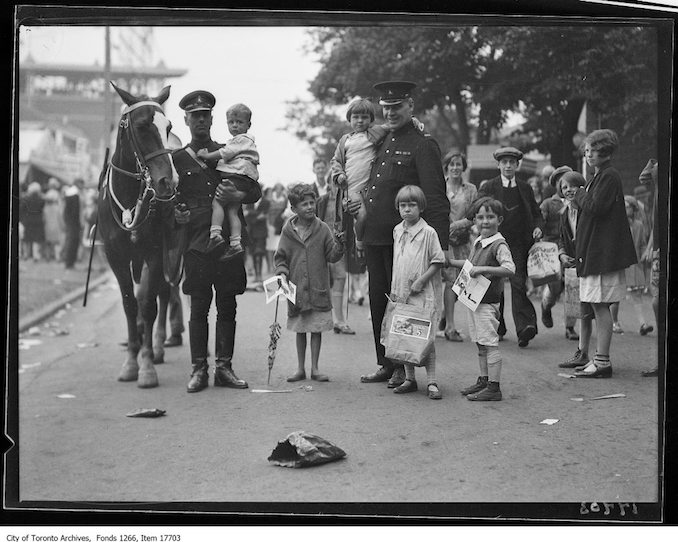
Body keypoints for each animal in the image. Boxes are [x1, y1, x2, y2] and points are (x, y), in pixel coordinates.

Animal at [98, 83, 179, 388]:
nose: (168, 181)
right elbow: (130, 304)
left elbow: (147, 304)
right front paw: (131, 363)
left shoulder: (154, 252)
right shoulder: (115, 256)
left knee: (164, 293)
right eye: (143, 126)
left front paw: (146, 366)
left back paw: (157, 345)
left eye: (168, 126)